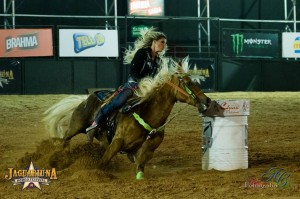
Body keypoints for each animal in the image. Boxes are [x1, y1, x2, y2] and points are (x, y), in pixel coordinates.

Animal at [44, 58, 211, 180]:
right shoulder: (117, 142)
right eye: (188, 83)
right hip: (76, 126)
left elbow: (140, 167)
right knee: (65, 138)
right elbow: (103, 162)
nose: (207, 100)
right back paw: (61, 156)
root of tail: (86, 99)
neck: (147, 115)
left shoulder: (147, 150)